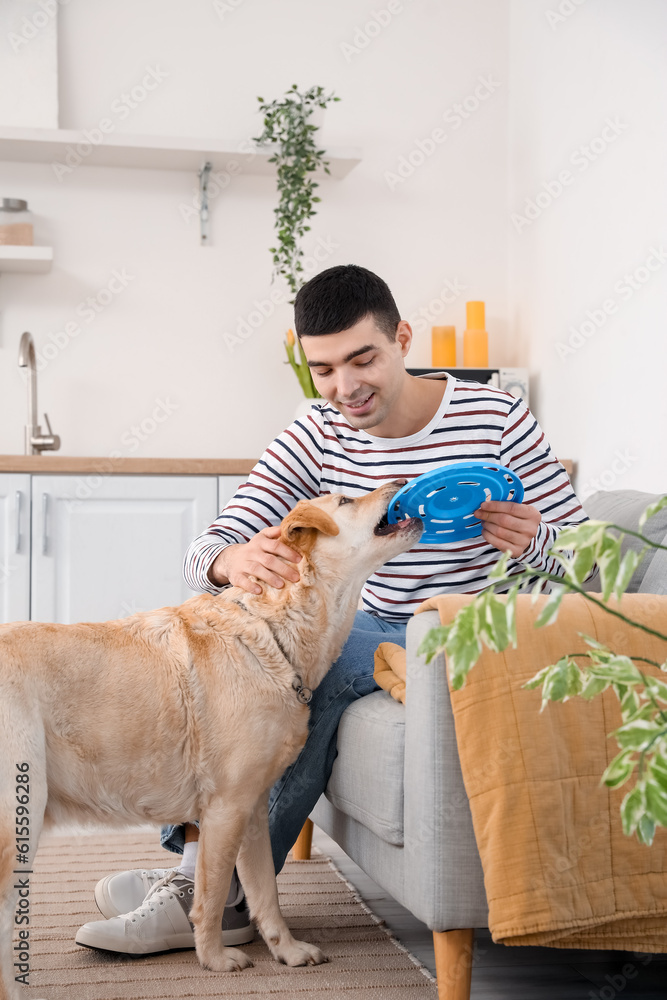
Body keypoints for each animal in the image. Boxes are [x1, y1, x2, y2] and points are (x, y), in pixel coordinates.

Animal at [0, 480, 422, 996]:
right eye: (344, 502)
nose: (401, 483)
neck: (274, 634)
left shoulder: (254, 809)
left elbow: (265, 893)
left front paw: (286, 951)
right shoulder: (226, 808)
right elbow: (213, 890)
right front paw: (215, 959)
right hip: (19, 818)